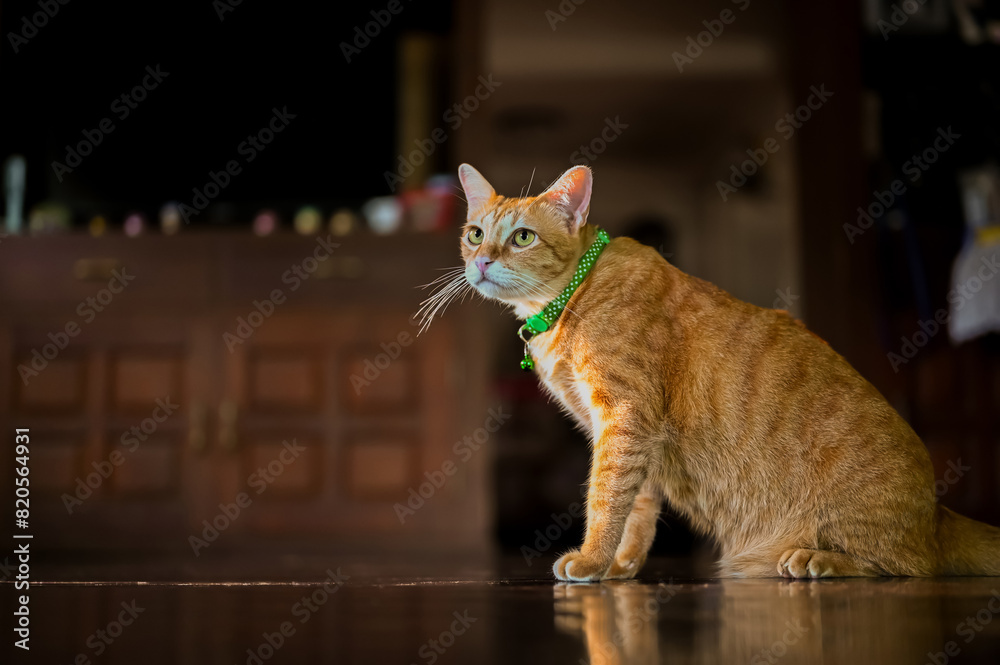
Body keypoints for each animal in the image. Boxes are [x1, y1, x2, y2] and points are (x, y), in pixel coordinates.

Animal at [434, 163, 1000, 580]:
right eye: (475, 234)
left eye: (522, 238)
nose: (481, 261)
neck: (567, 299)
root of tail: (937, 515)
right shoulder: (628, 434)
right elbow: (637, 509)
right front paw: (619, 566)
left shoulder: (623, 415)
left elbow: (606, 498)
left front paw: (591, 560)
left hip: (874, 541)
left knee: (908, 566)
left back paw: (817, 559)